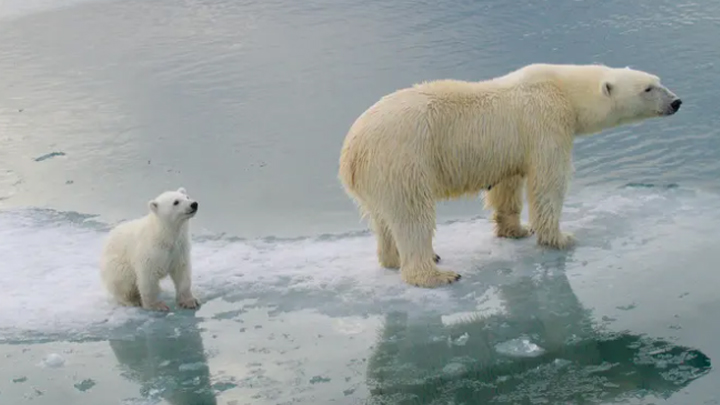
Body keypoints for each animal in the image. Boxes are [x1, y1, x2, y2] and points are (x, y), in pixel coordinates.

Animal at [340, 63, 684, 288]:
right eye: (648, 88)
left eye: (657, 80)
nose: (677, 101)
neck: (563, 88)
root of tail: (351, 152)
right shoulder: (546, 123)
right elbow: (548, 182)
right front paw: (560, 237)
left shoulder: (510, 148)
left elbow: (507, 185)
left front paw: (515, 230)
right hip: (402, 160)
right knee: (412, 216)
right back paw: (435, 273)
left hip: (377, 178)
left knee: (383, 220)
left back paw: (393, 258)